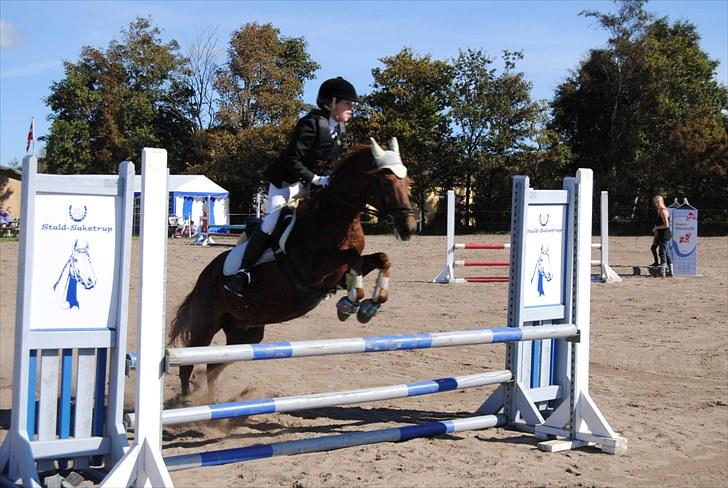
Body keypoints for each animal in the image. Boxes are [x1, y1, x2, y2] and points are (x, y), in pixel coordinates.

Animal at [168, 138, 418, 401]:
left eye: (408, 182)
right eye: (386, 181)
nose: (408, 227)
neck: (334, 217)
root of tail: (204, 276)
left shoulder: (340, 272)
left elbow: (380, 259)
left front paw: (370, 305)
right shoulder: (313, 269)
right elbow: (353, 259)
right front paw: (350, 304)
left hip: (245, 331)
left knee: (213, 366)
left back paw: (214, 404)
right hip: (206, 322)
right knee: (188, 364)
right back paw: (187, 403)